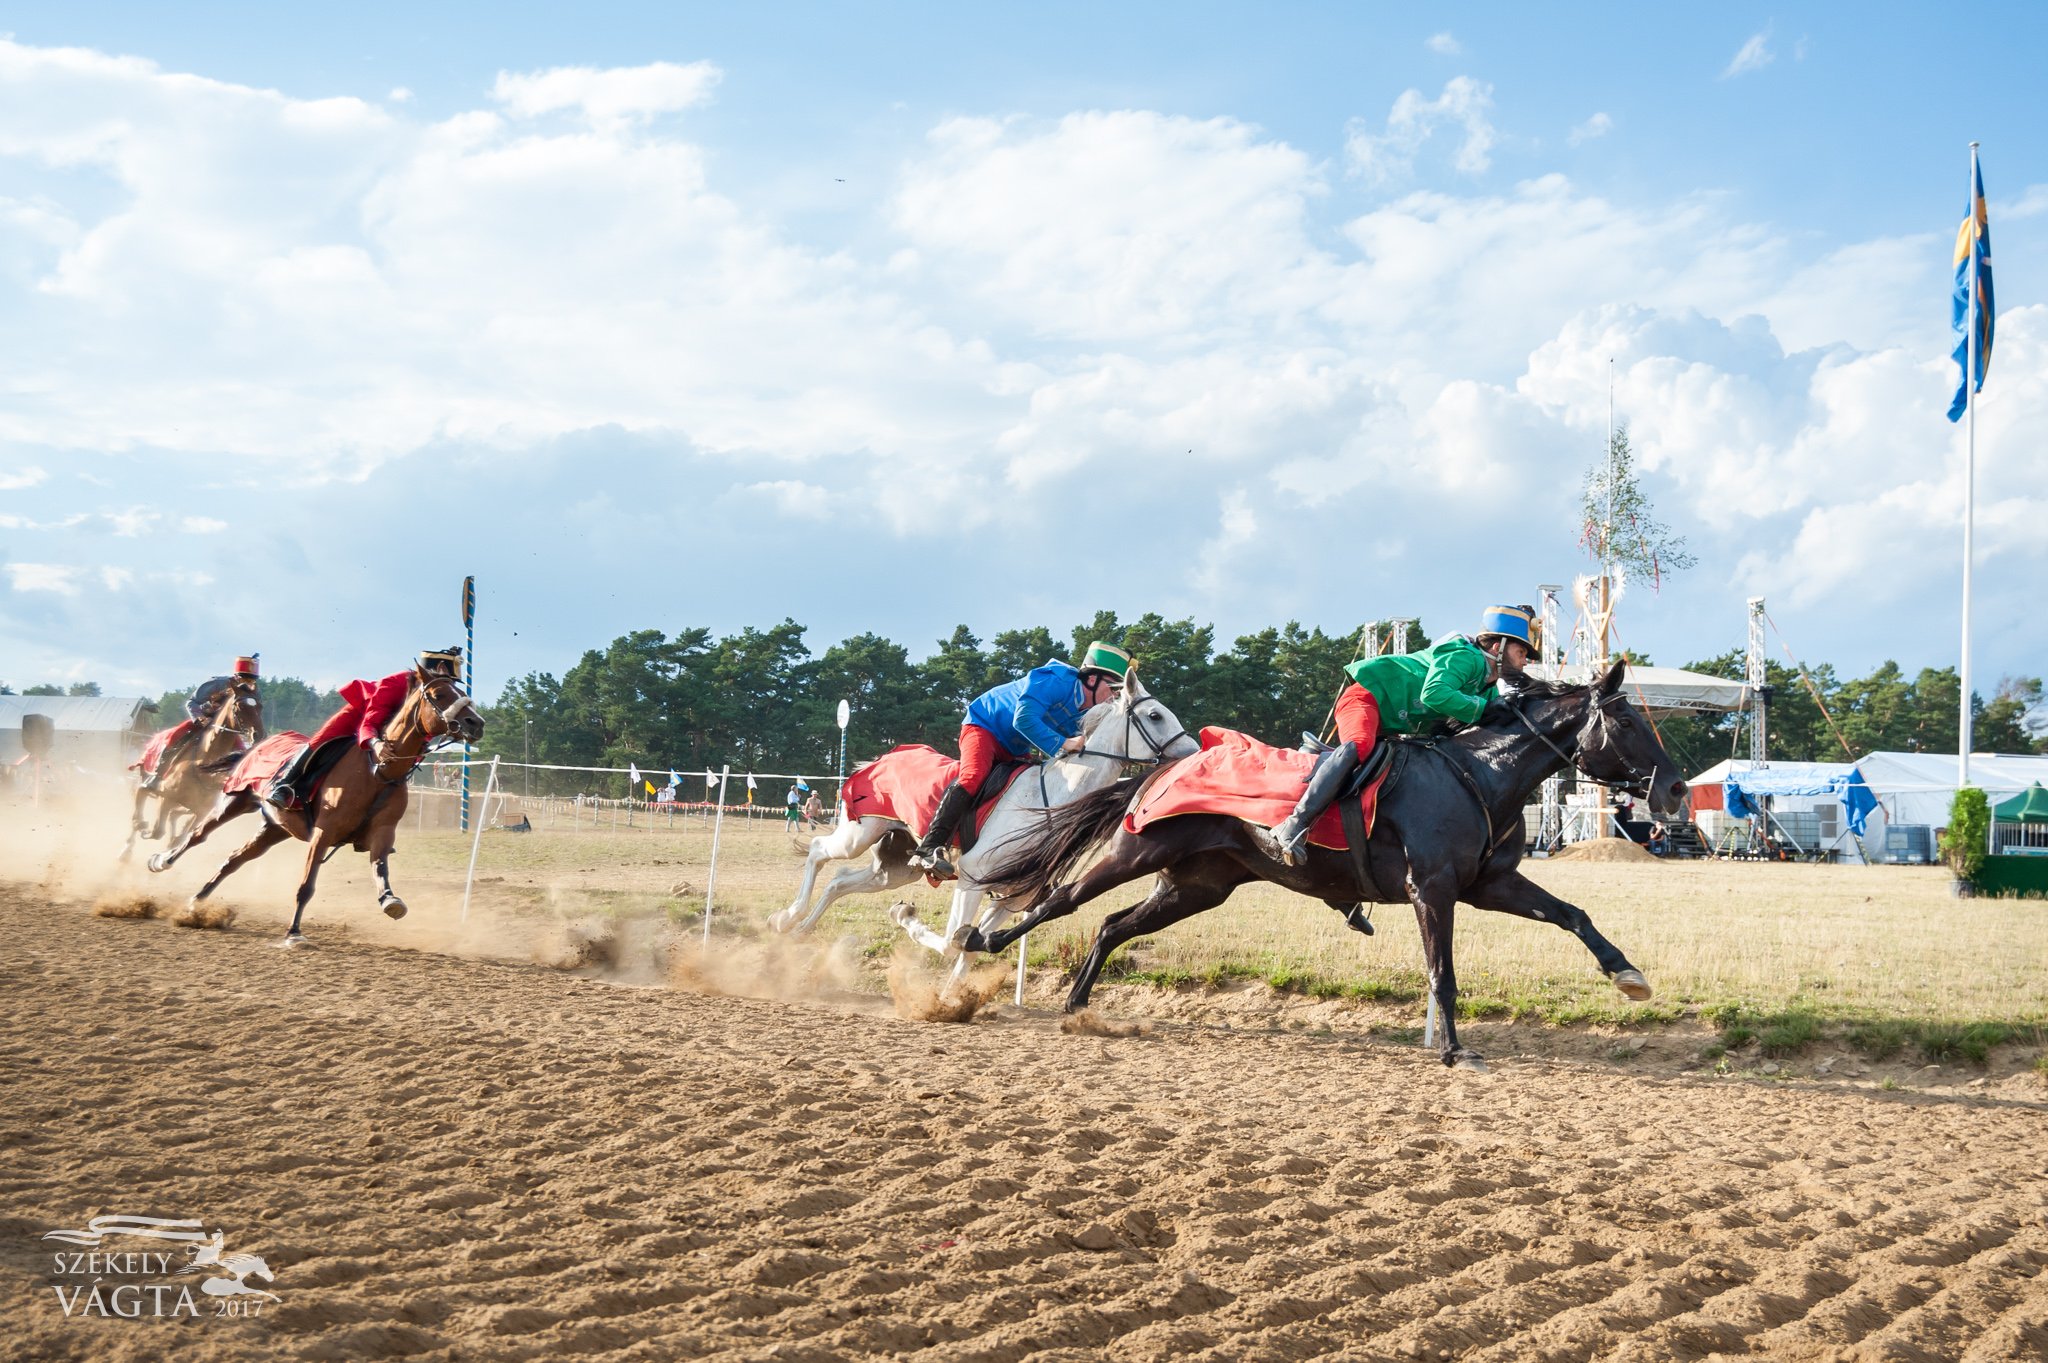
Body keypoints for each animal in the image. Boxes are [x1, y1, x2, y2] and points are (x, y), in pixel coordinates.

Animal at [120, 679, 266, 859]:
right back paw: (128, 846)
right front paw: (146, 830)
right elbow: (158, 831)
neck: (203, 760)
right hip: (146, 777)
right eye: (239, 707)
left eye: (260, 706)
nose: (259, 735)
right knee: (140, 793)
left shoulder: (201, 812)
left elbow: (180, 836)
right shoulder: (167, 798)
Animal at [148, 658, 483, 941]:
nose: (475, 723)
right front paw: (293, 931)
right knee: (197, 834)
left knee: (234, 859)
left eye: (461, 691)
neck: (379, 771)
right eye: (439, 694)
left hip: (275, 828)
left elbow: (380, 868)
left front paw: (390, 901)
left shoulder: (382, 833)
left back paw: (195, 903)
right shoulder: (323, 833)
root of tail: (256, 745)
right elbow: (306, 885)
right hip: (235, 801)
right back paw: (161, 861)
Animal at [770, 671, 1196, 970]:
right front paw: (904, 914)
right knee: (818, 851)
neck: (1051, 800)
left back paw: (802, 929)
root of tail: (884, 757)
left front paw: (948, 1004)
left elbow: (969, 951)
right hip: (859, 832)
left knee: (841, 881)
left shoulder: (1012, 898)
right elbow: (951, 943)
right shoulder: (972, 880)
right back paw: (786, 917)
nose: (1194, 752)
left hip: (898, 865)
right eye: (1155, 715)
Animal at [950, 658, 1687, 1072]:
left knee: (1110, 925)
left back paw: (1079, 1005)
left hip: (1199, 885)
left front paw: (1628, 974)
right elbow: (1442, 974)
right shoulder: (1433, 890)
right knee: (1060, 901)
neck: (1477, 772)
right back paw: (979, 945)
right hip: (1140, 850)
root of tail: (1160, 767)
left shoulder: (1488, 882)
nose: (1677, 789)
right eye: (1627, 722)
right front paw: (1454, 1050)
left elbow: (1573, 914)